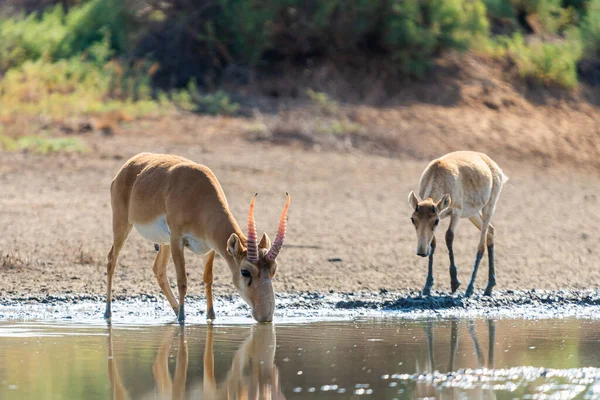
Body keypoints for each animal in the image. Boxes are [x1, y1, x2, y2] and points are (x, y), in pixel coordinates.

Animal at [104, 152, 292, 324]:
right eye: (245, 271)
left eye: (274, 269)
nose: (265, 316)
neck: (199, 196)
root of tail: (130, 163)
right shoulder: (177, 239)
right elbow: (182, 280)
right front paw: (182, 319)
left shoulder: (210, 247)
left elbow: (208, 279)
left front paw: (211, 316)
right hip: (122, 224)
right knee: (111, 259)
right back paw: (108, 313)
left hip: (164, 242)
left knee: (159, 269)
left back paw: (174, 310)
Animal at [408, 152, 506, 298]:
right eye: (413, 219)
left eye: (436, 221)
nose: (421, 252)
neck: (439, 172)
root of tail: (492, 163)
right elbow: (433, 243)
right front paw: (427, 287)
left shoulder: (456, 212)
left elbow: (449, 237)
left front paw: (454, 283)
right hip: (473, 213)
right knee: (491, 230)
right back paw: (489, 286)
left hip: (489, 207)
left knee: (481, 245)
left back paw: (470, 288)